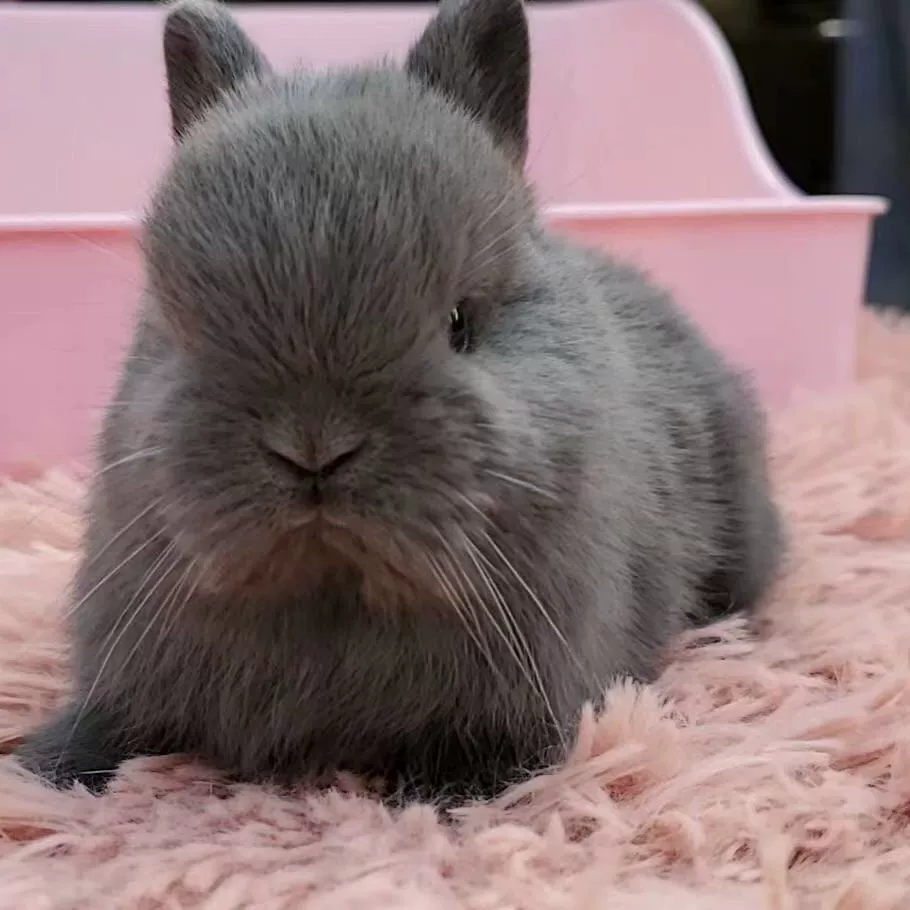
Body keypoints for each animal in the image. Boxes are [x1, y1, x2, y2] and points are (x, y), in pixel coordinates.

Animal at [15, 0, 783, 804]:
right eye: (178, 325)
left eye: (460, 322)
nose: (314, 448)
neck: (330, 601)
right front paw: (47, 769)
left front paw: (443, 791)